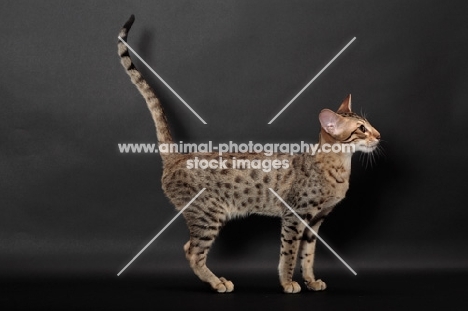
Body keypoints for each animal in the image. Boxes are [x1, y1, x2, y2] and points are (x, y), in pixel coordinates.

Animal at [117, 15, 380, 294]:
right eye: (361, 129)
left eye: (369, 124)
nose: (378, 135)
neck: (338, 167)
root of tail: (178, 157)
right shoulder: (295, 216)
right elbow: (289, 254)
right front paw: (288, 283)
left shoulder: (315, 222)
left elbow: (308, 256)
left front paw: (310, 280)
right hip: (208, 214)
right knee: (192, 252)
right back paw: (217, 282)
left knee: (190, 248)